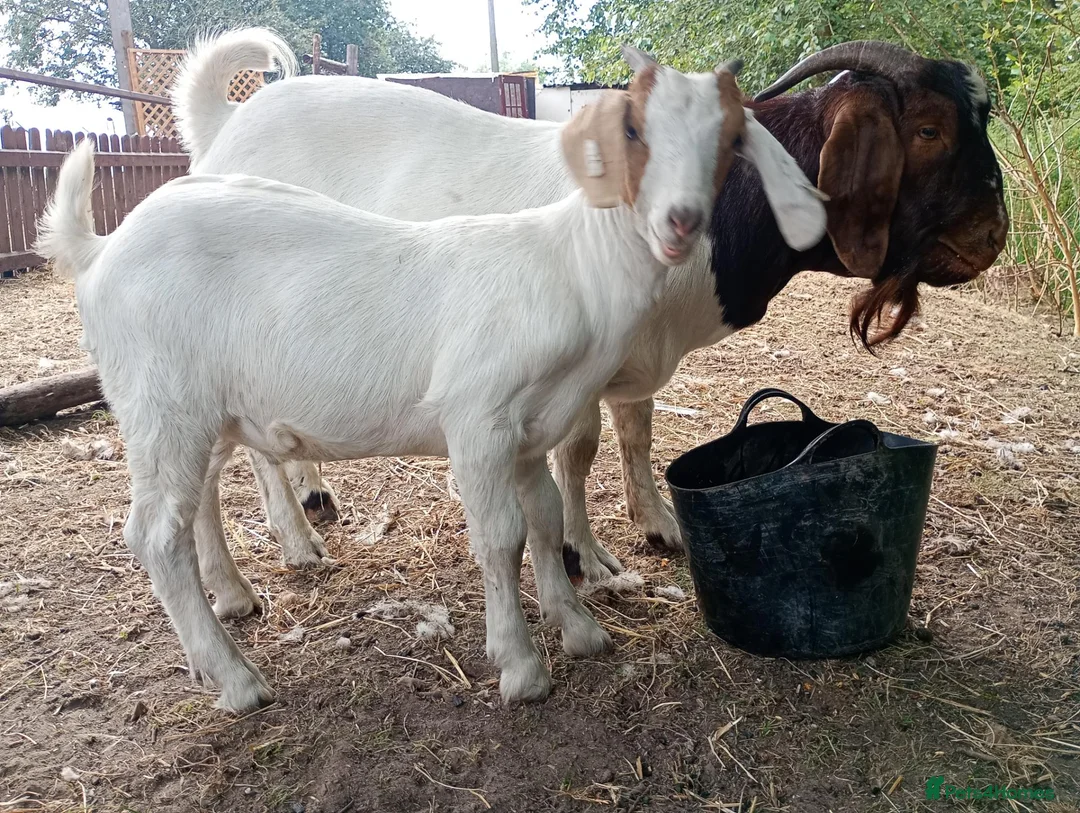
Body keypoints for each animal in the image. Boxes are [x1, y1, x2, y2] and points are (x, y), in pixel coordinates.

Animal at [38, 53, 826, 711]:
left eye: (729, 140)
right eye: (632, 127)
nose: (681, 220)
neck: (571, 264)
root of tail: (100, 249)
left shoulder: (529, 432)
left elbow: (544, 518)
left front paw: (578, 627)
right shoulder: (478, 418)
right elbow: (501, 535)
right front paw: (521, 666)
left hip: (201, 412)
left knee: (193, 499)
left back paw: (233, 600)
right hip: (161, 403)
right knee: (153, 534)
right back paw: (237, 678)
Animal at [172, 31, 1008, 582]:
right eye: (928, 128)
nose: (994, 234)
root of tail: (227, 125)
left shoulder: (641, 357)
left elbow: (636, 435)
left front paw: (659, 524)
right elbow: (579, 451)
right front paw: (583, 551)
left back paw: (315, 490)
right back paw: (296, 539)